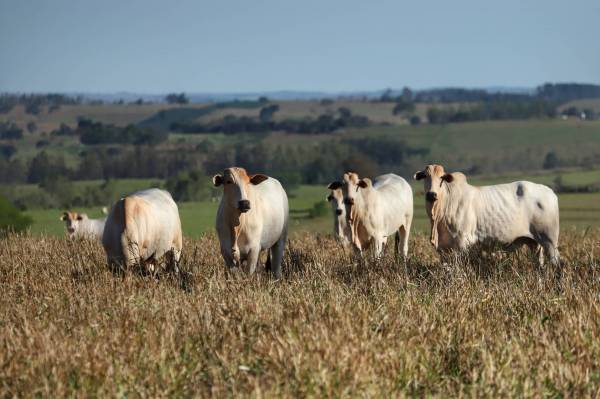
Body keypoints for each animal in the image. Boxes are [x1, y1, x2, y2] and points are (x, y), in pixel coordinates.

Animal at [414, 164, 560, 268]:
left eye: (442, 178)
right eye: (425, 176)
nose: (431, 194)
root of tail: (550, 192)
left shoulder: (461, 244)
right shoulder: (443, 250)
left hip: (550, 241)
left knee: (557, 265)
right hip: (535, 243)